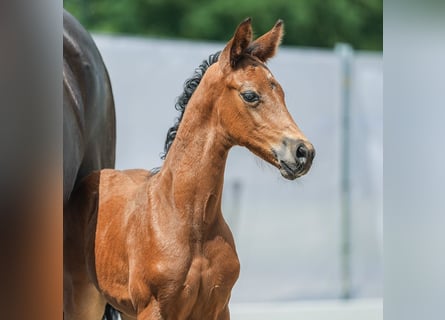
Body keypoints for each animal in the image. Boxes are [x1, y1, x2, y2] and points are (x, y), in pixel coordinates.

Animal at [65, 18, 316, 320]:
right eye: (250, 95)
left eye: (281, 92)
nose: (303, 152)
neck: (189, 220)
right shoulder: (154, 308)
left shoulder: (218, 308)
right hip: (84, 299)